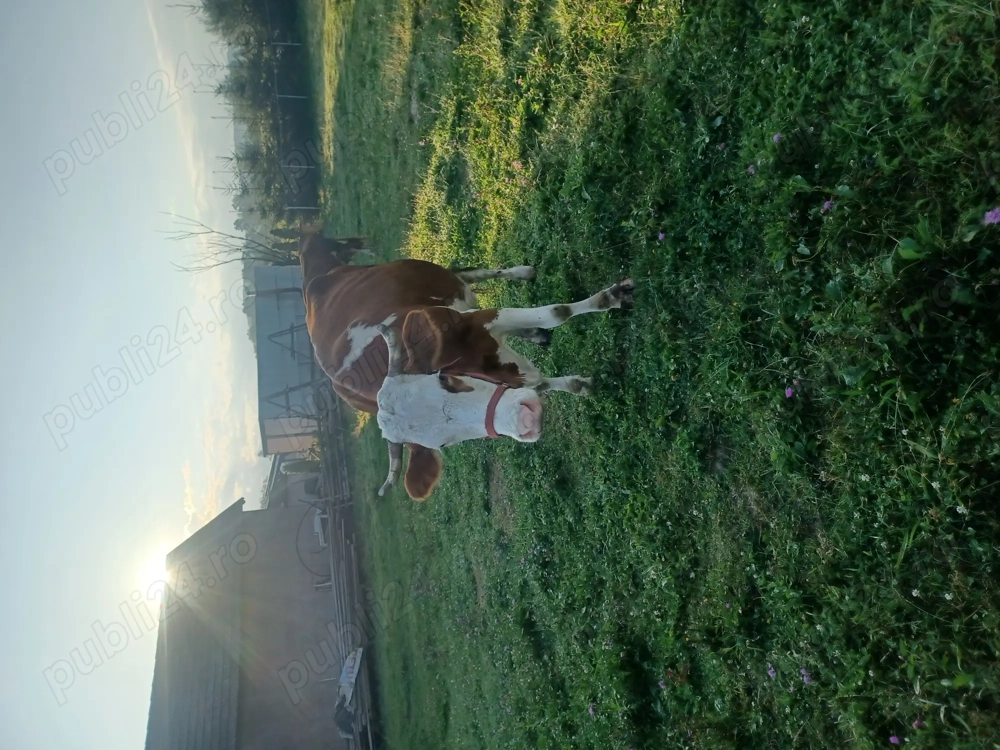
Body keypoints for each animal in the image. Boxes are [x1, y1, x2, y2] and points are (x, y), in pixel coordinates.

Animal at [299, 225, 634, 502]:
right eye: (444, 444)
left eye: (445, 380)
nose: (526, 421)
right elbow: (538, 381)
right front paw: (579, 384)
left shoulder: (481, 320)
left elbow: (557, 312)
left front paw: (610, 297)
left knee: (468, 273)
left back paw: (522, 273)